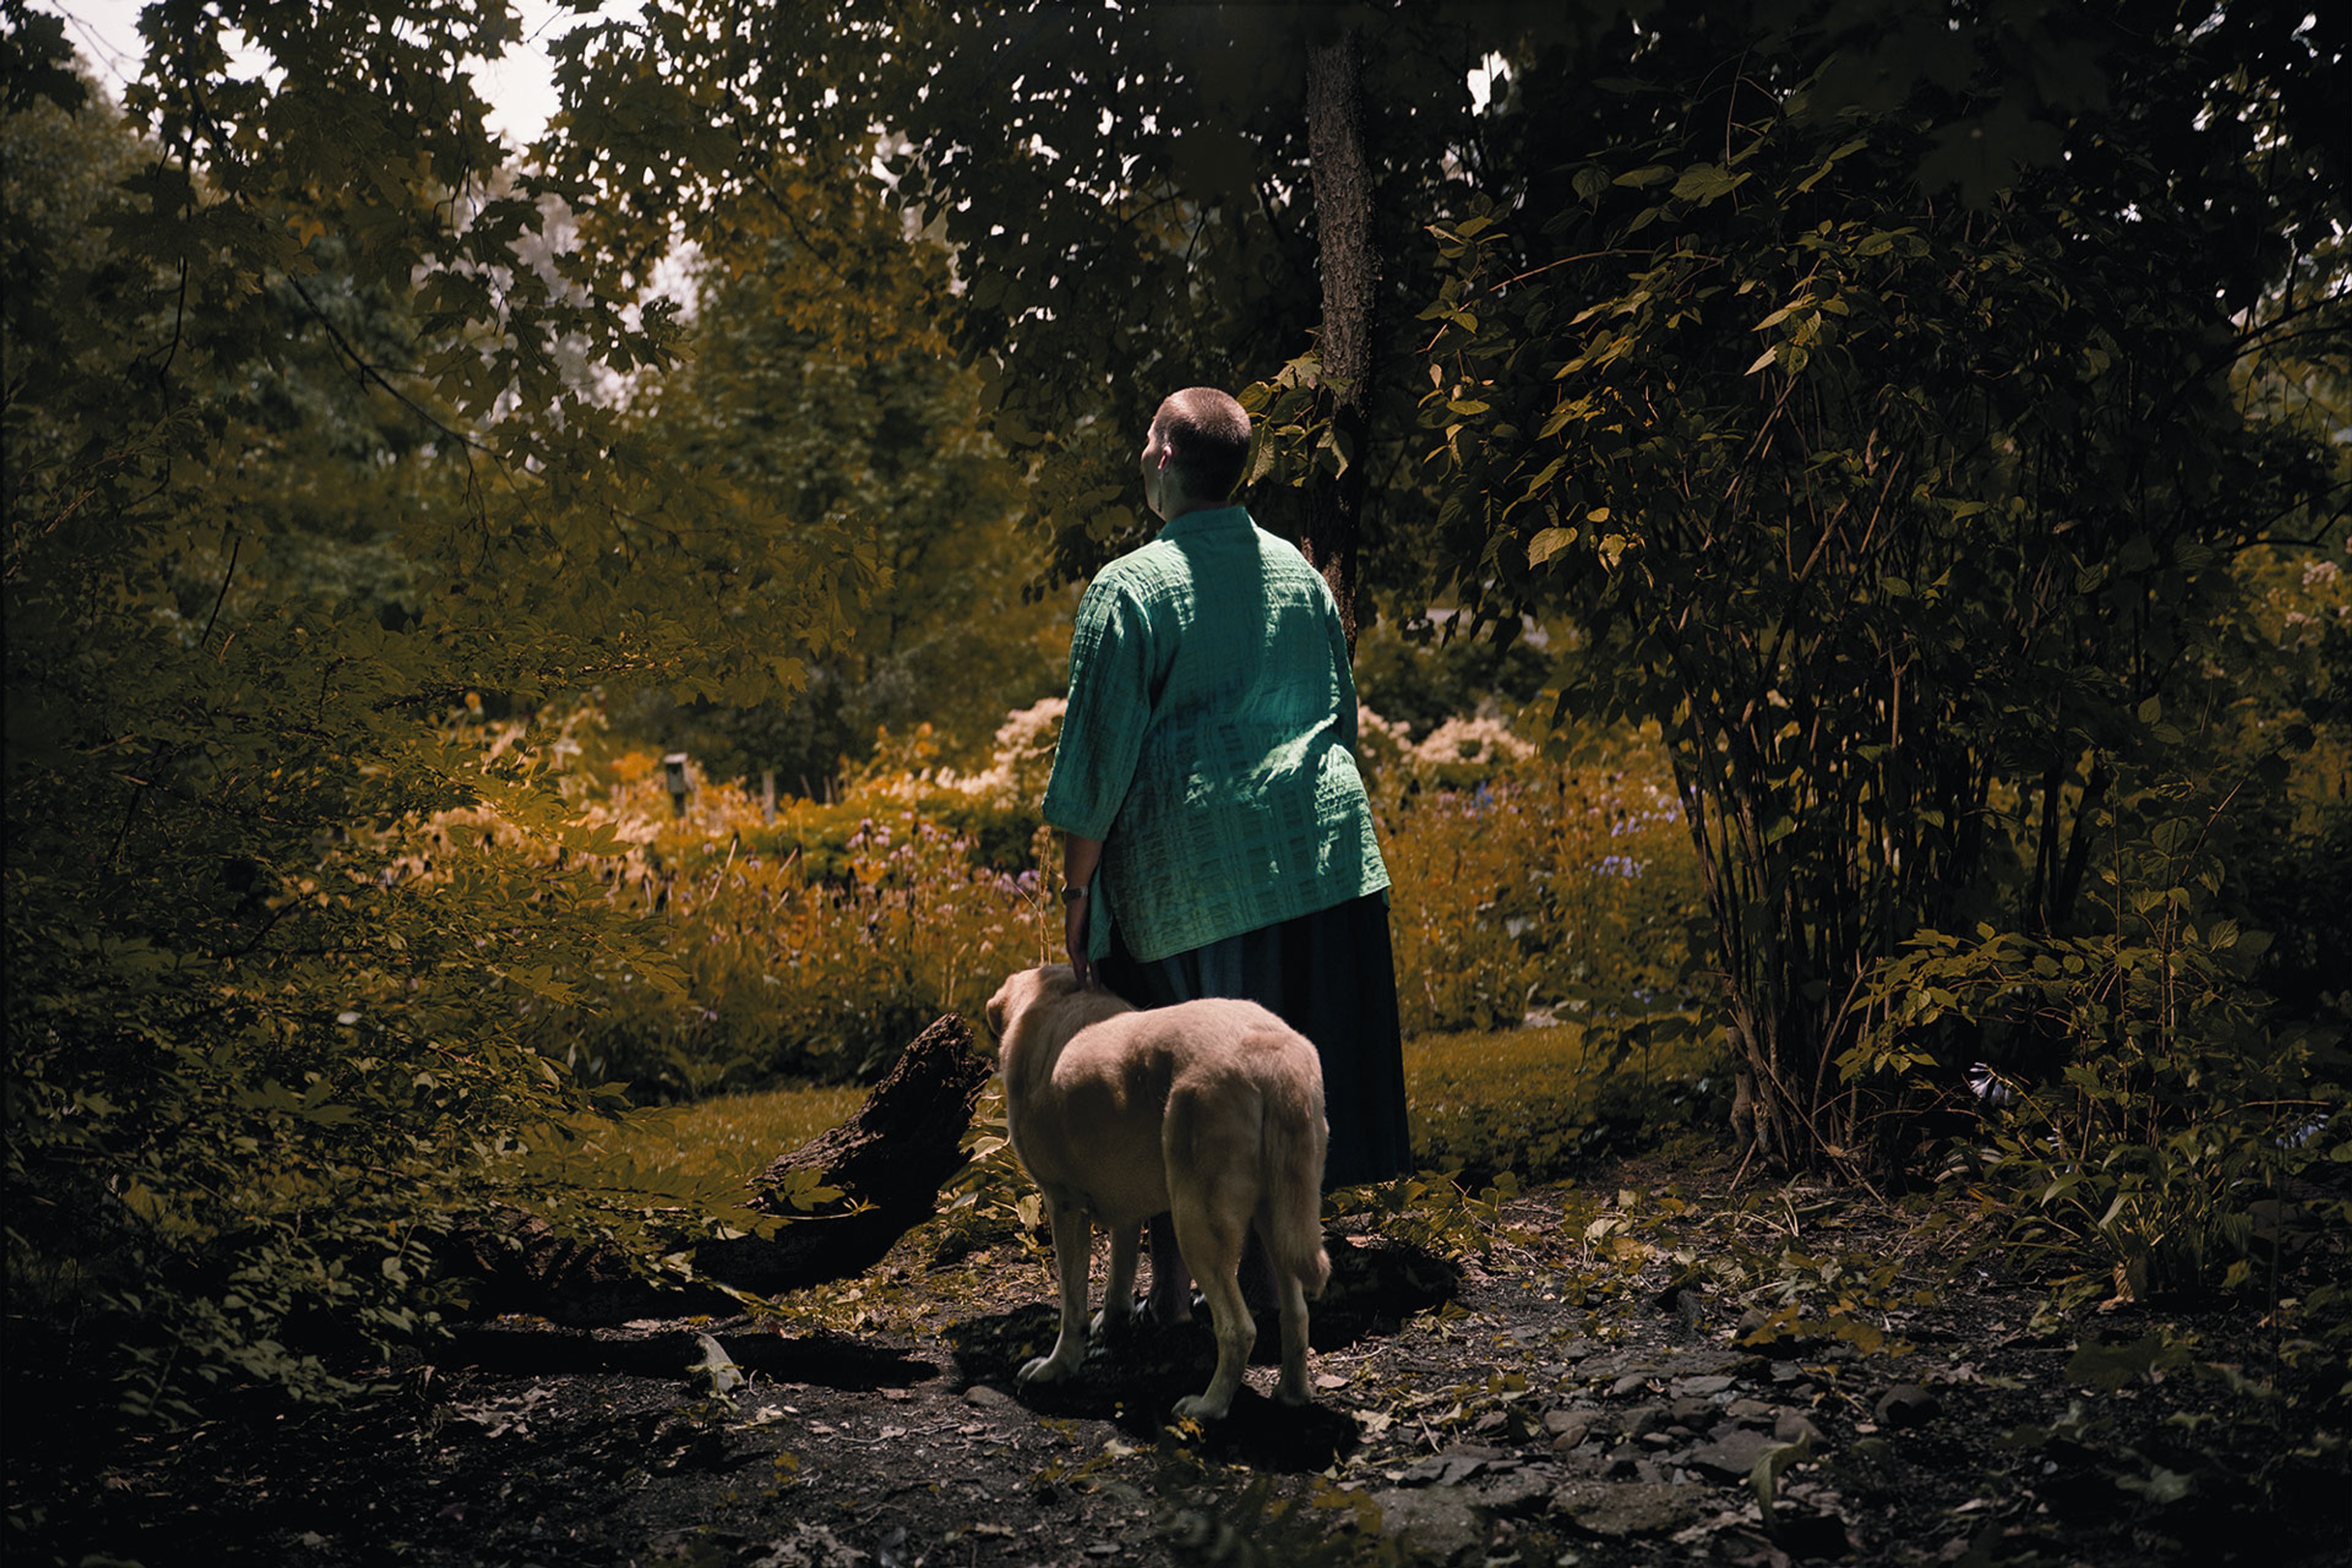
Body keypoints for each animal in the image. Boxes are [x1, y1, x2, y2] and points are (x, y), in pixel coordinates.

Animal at [983, 963, 1336, 1420]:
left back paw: (1208, 1406)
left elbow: (1071, 1305)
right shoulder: (1124, 1209)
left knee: (1239, 1328)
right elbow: (1119, 1271)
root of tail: (1273, 1057)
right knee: (1296, 1314)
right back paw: (1292, 1394)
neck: (1058, 998)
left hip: (1198, 1221)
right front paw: (1112, 1324)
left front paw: (1057, 1367)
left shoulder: (1063, 1206)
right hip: (1281, 1215)